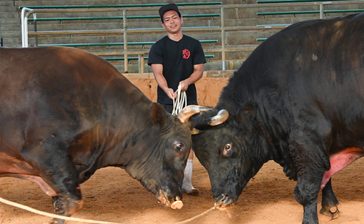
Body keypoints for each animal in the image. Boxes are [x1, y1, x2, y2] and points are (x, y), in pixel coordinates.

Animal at [191, 13, 364, 224]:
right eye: (202, 159)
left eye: (227, 147)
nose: (220, 198)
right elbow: (325, 175)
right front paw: (330, 206)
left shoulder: (307, 140)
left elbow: (306, 190)